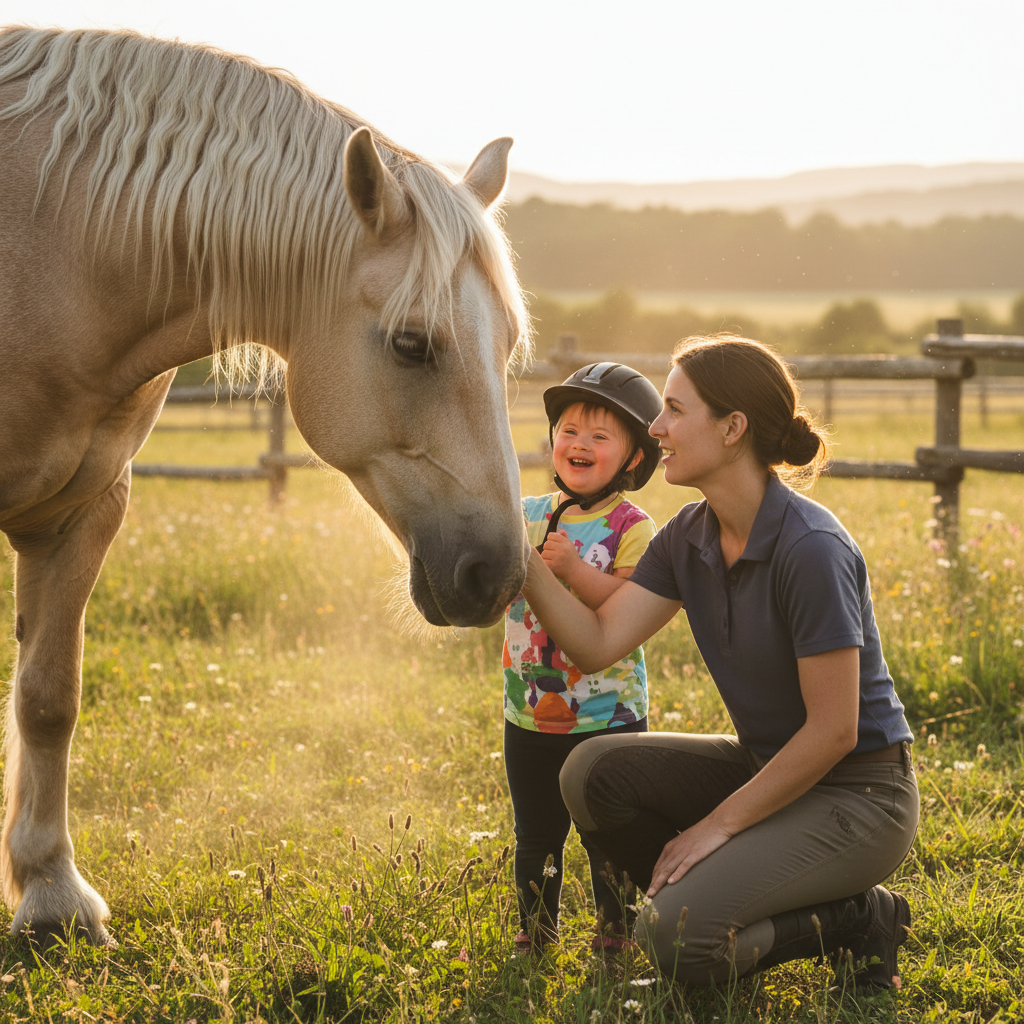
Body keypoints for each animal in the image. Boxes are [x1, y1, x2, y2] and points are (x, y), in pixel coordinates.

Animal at [0, 25, 531, 946]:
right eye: (411, 343)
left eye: (505, 345)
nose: (495, 575)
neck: (47, 245)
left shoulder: (84, 510)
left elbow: (47, 696)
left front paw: (51, 896)